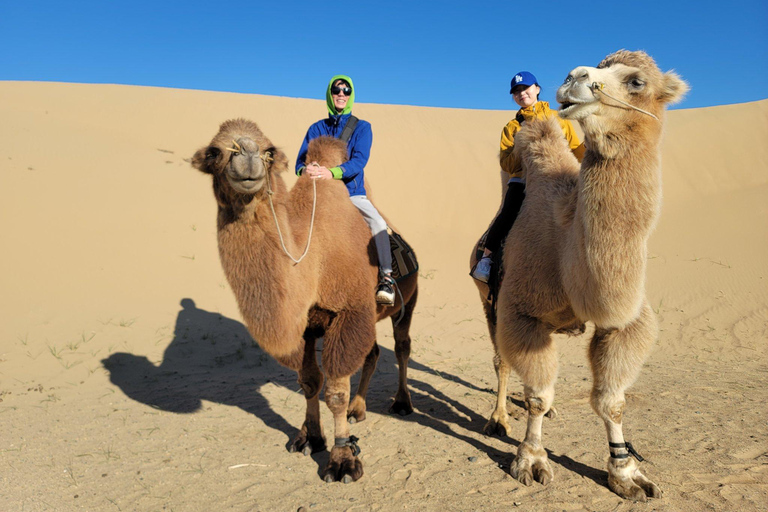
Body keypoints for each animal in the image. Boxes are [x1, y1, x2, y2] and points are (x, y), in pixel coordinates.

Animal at [192, 121, 420, 484]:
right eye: (215, 152)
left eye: (269, 151)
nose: (248, 158)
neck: (311, 260)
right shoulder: (308, 326)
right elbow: (310, 381)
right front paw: (311, 437)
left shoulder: (347, 312)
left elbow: (335, 390)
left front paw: (342, 459)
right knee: (372, 352)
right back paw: (359, 409)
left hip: (407, 302)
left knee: (401, 347)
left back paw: (401, 402)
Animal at [488, 49, 688, 500]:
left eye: (636, 81)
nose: (574, 76)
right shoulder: (521, 313)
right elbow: (537, 396)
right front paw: (531, 460)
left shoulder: (627, 320)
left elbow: (612, 400)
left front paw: (626, 473)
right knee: (501, 362)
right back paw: (498, 418)